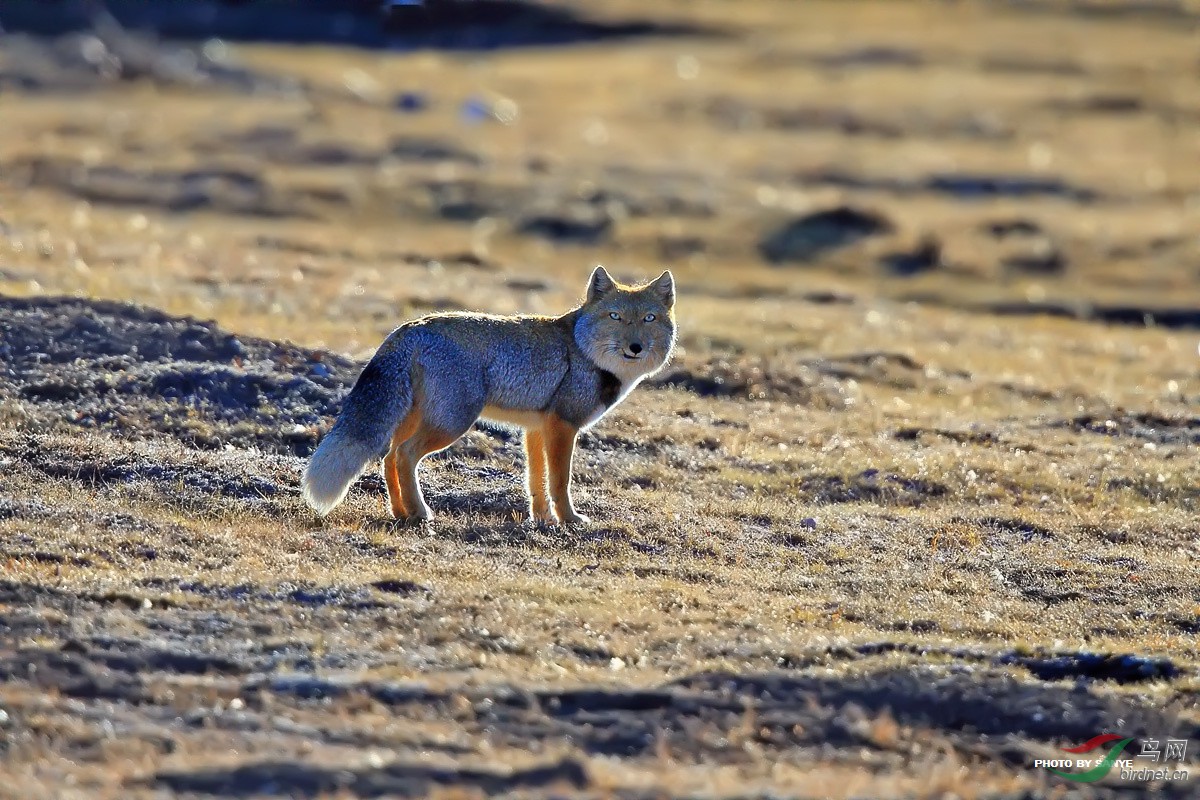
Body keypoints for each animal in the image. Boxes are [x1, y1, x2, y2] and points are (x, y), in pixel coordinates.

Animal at [302, 267, 676, 525]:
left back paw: (400, 511)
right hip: (452, 423)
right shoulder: (563, 426)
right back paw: (420, 513)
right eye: (615, 316)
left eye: (649, 318)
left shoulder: (537, 429)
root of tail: (410, 327)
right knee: (404, 455)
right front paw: (569, 519)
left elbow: (536, 480)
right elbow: (559, 481)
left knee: (389, 456)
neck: (584, 352)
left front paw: (543, 520)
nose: (635, 347)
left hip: (417, 420)